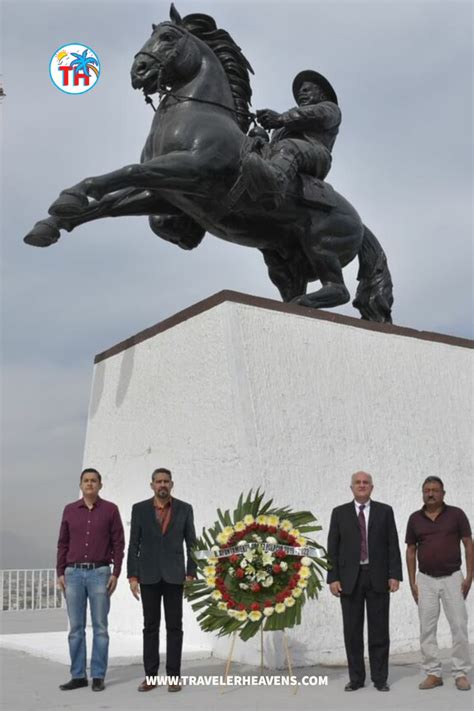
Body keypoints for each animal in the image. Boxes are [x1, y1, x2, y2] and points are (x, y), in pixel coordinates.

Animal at [23, 4, 392, 322]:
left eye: (168, 37)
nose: (138, 71)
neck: (195, 112)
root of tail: (361, 225)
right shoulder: (164, 194)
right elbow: (111, 205)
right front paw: (49, 225)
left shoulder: (193, 170)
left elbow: (127, 171)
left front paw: (70, 197)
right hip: (280, 258)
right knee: (297, 288)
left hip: (321, 247)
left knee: (338, 290)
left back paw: (305, 303)